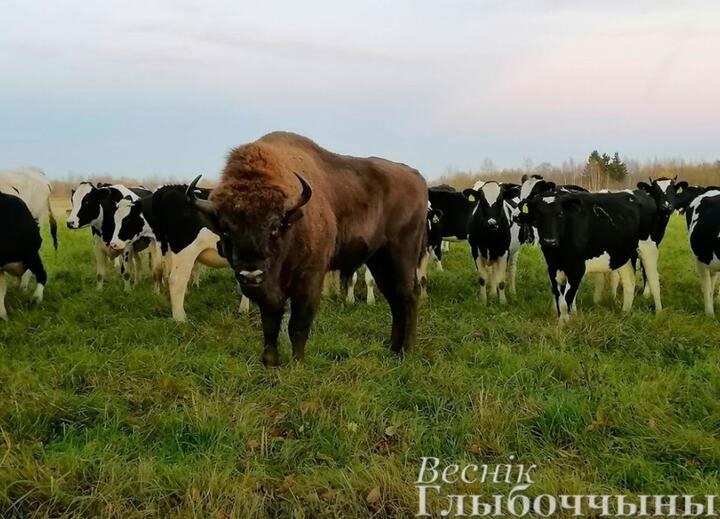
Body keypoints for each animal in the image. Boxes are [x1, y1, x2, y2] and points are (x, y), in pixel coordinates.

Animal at [186, 131, 428, 366]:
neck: (292, 223)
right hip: (379, 260)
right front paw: (270, 362)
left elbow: (297, 324)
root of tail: (416, 177)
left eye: (275, 226)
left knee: (408, 296)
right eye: (225, 230)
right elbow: (270, 323)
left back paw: (407, 350)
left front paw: (298, 363)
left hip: (402, 254)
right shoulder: (268, 291)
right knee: (395, 300)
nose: (250, 275)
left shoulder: (309, 280)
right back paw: (393, 349)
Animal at [516, 191, 644, 320]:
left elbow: (566, 300)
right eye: (538, 215)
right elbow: (558, 297)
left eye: (560, 214)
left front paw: (568, 323)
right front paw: (562, 321)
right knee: (629, 281)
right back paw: (625, 312)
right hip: (623, 256)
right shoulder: (553, 267)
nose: (549, 241)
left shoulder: (577, 269)